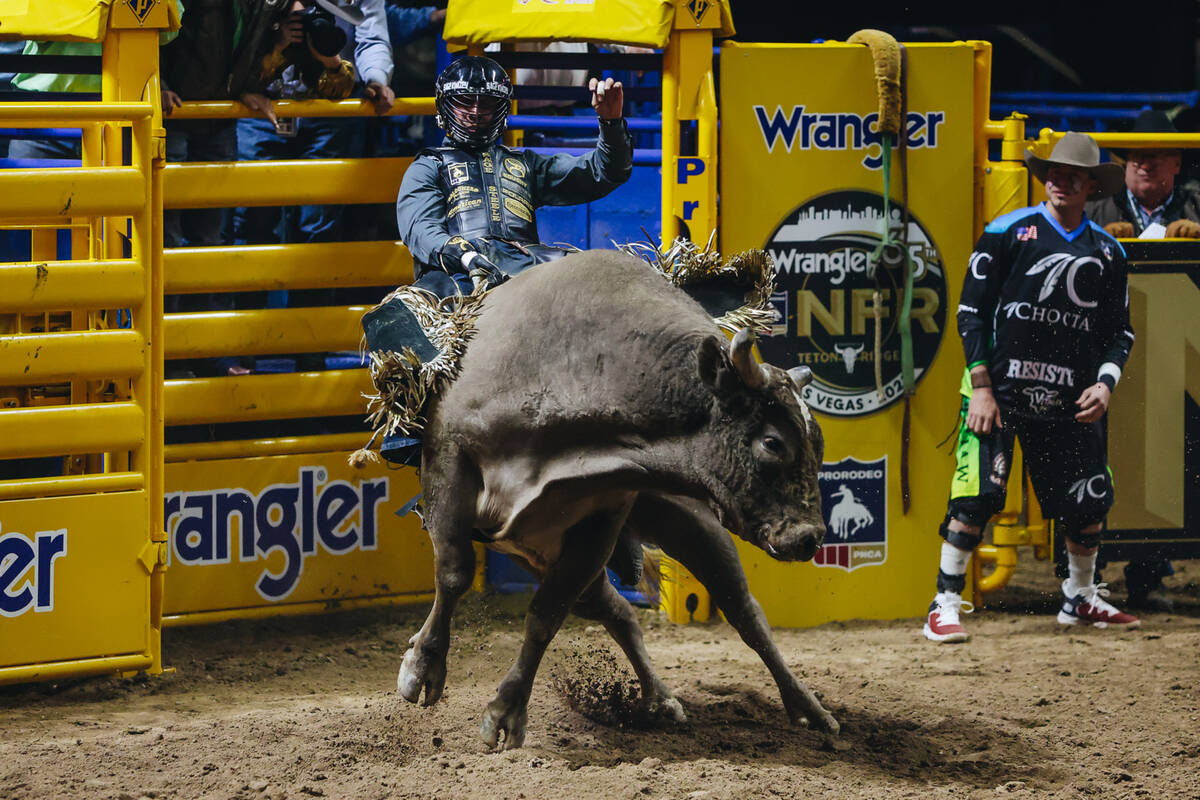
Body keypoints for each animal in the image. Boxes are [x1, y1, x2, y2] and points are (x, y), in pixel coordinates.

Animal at [391, 251, 835, 753]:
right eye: (773, 442)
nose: (809, 538)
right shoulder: (449, 457)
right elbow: (454, 572)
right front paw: (423, 667)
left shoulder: (604, 513)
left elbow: (546, 614)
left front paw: (505, 712)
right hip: (539, 551)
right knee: (617, 610)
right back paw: (661, 699)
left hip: (687, 524)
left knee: (743, 611)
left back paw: (805, 707)